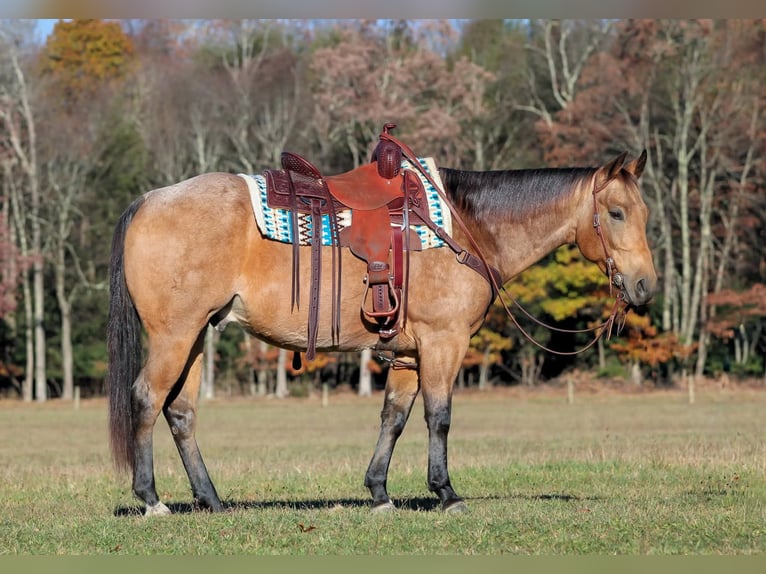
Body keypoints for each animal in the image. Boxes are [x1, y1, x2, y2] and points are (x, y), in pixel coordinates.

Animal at [106, 147, 656, 516]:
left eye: (644, 213)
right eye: (615, 213)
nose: (645, 285)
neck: (468, 226)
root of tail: (150, 200)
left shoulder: (410, 354)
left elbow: (393, 418)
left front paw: (379, 492)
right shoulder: (443, 342)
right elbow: (439, 417)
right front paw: (446, 493)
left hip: (197, 336)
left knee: (181, 412)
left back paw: (211, 499)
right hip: (175, 335)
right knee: (147, 399)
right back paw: (151, 499)